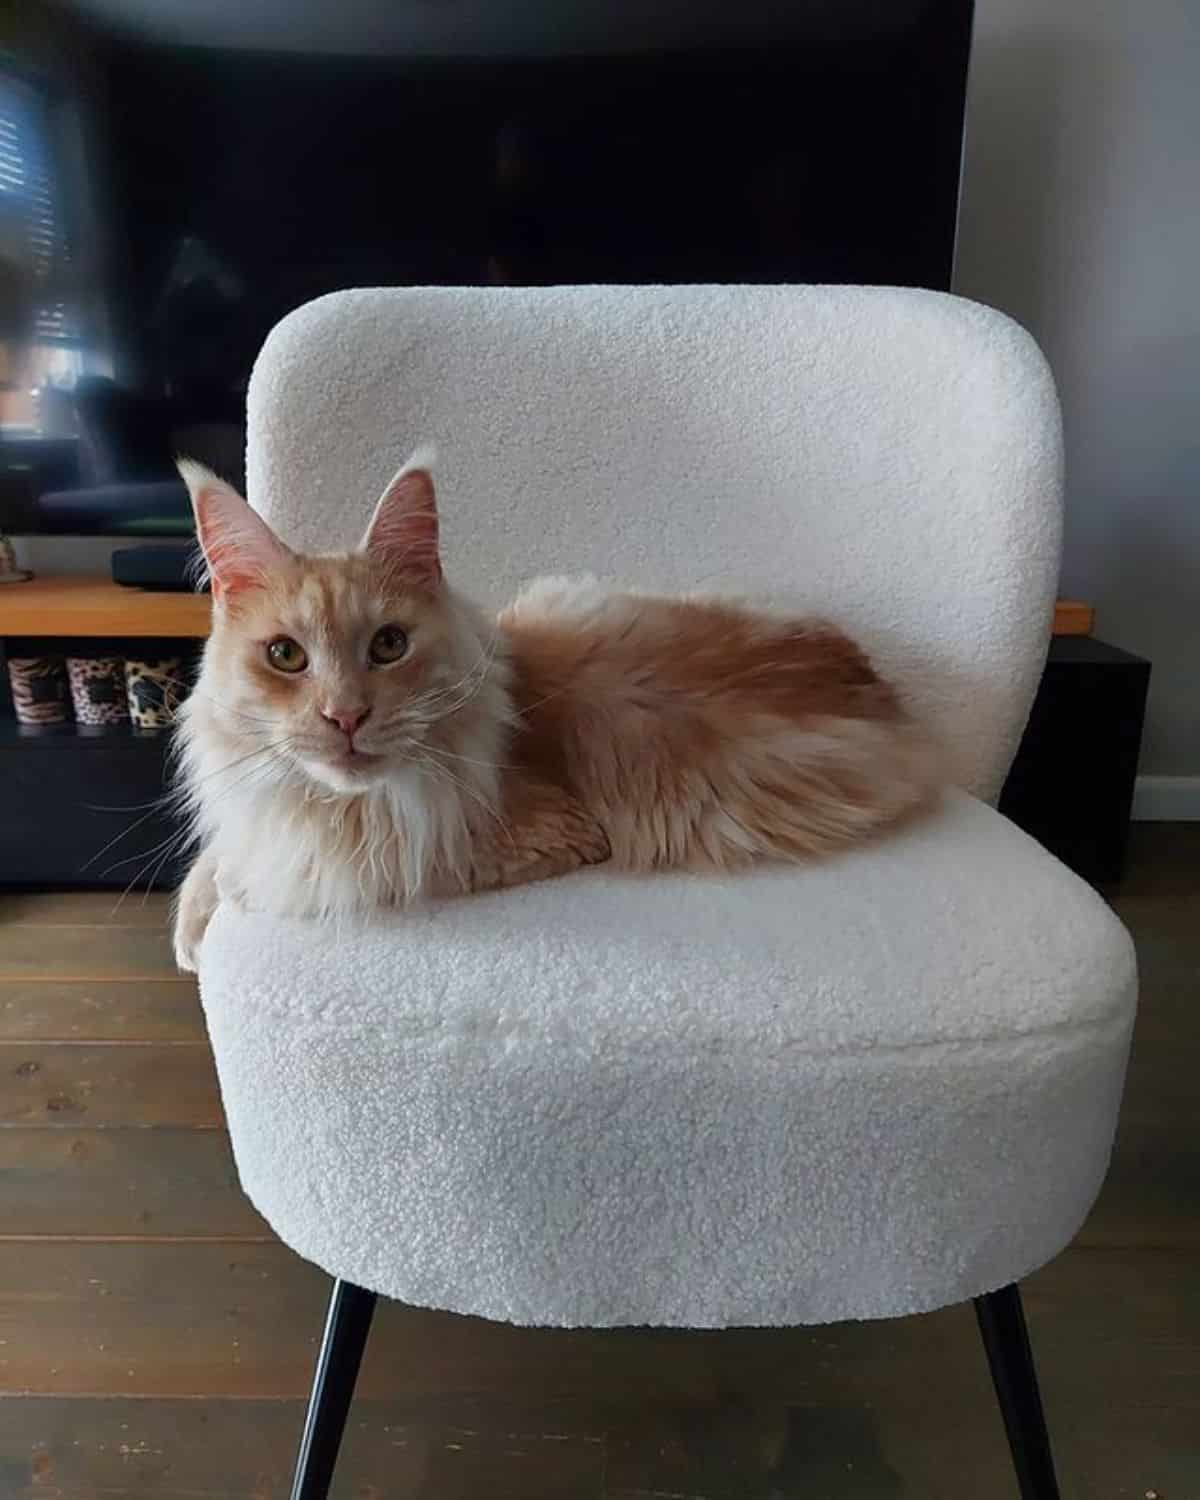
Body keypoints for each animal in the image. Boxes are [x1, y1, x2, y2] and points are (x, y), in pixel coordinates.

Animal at [171, 453, 936, 972]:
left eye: (389, 645)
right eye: (285, 656)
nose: (345, 716)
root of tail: (879, 689)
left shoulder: (477, 845)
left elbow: (278, 871)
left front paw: (222, 901)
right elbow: (223, 854)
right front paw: (195, 917)